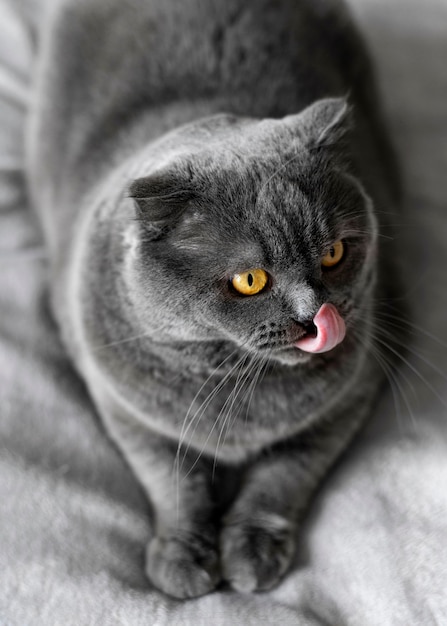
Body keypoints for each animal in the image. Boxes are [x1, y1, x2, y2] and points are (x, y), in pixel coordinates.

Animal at [27, 0, 400, 596]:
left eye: (335, 253)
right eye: (250, 280)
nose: (316, 316)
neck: (240, 386)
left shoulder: (351, 397)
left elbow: (283, 475)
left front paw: (253, 552)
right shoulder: (125, 410)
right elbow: (175, 480)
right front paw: (182, 559)